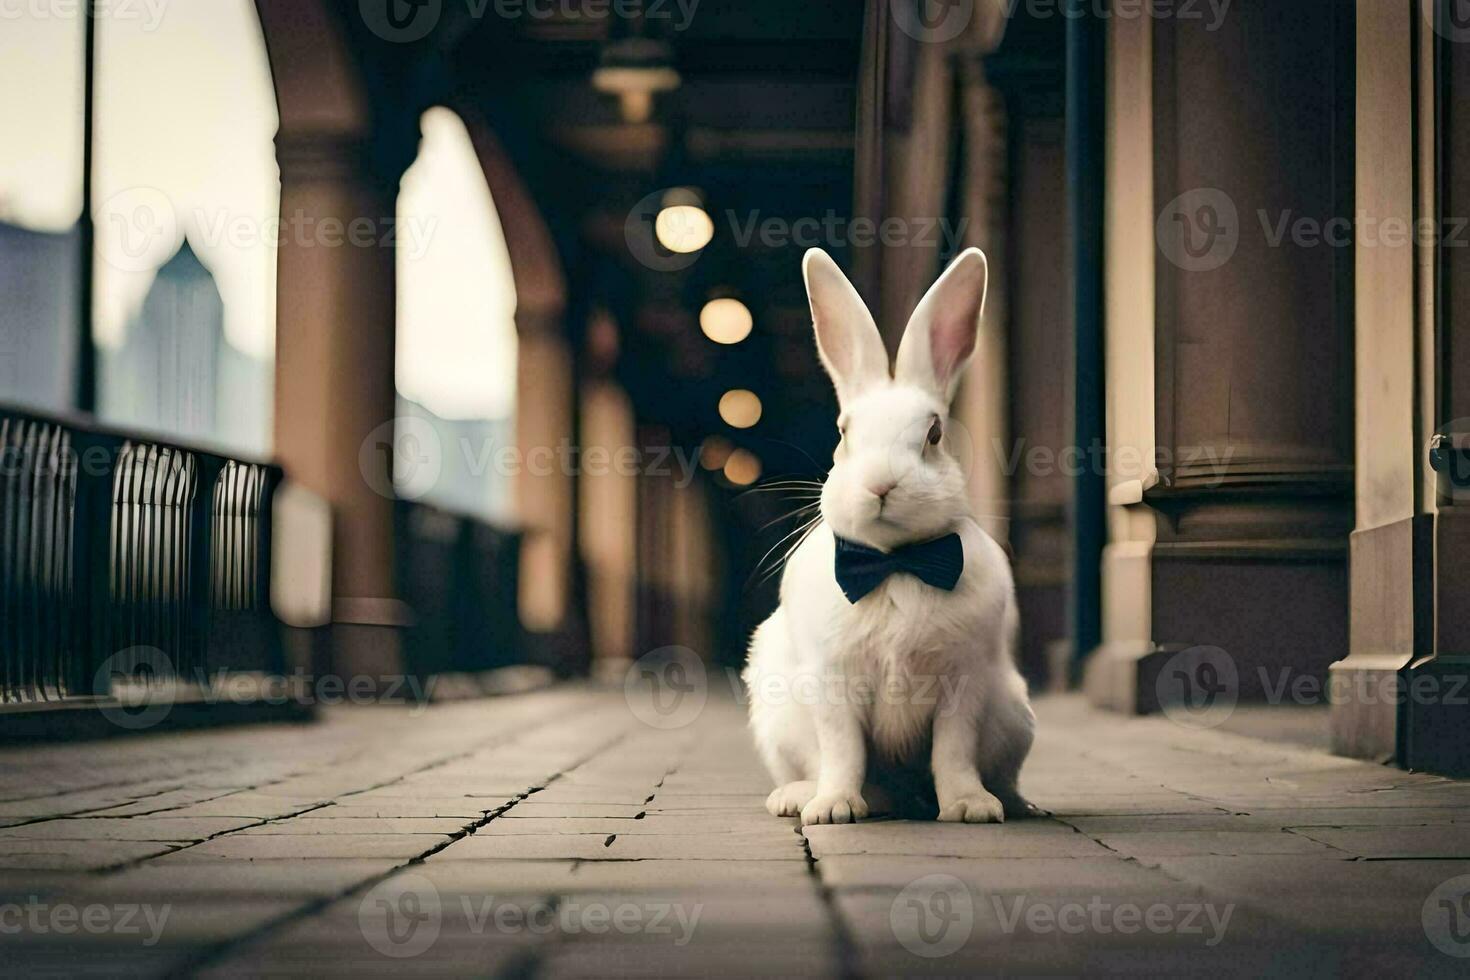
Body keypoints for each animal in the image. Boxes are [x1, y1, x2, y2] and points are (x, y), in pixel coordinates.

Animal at [746, 246, 1034, 828]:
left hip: (1014, 712)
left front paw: (969, 807)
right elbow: (842, 750)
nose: (881, 484)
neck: (896, 562)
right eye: (842, 432)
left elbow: (953, 751)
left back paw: (1012, 802)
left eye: (934, 433)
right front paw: (833, 808)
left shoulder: (964, 683)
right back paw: (802, 798)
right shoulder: (831, 683)